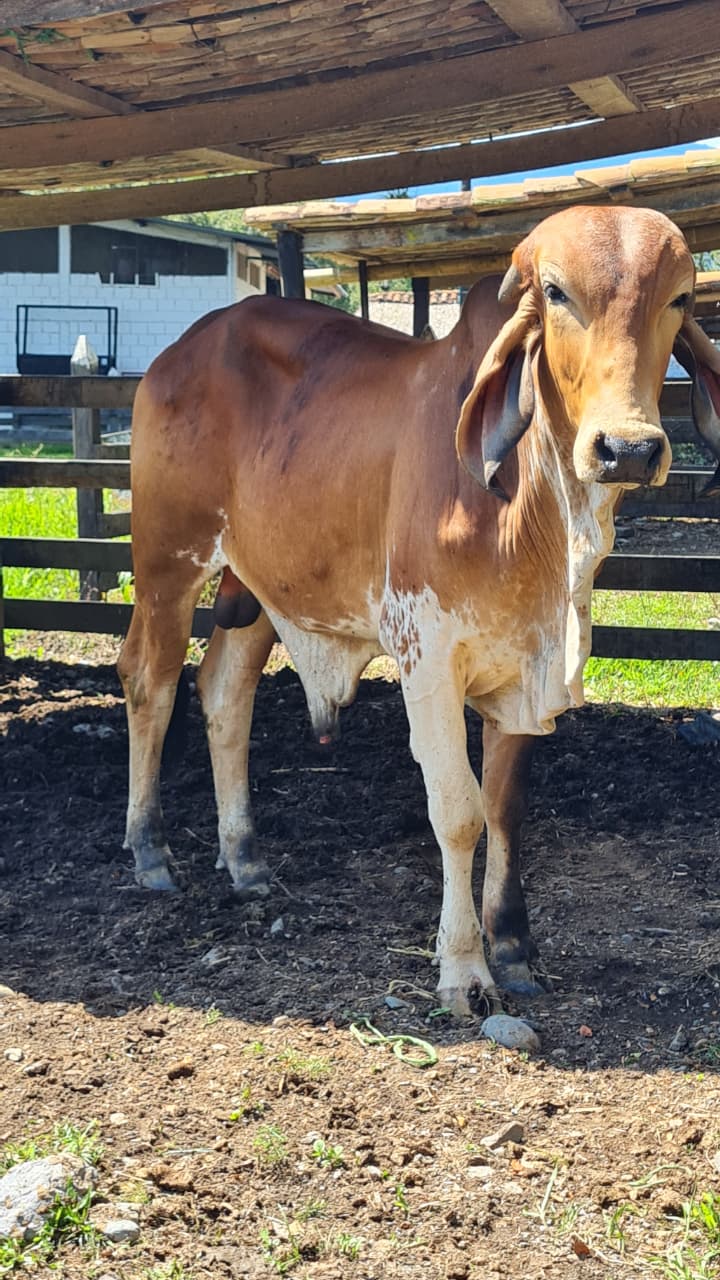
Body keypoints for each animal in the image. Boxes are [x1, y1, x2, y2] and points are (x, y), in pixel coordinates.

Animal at [118, 205, 720, 1015]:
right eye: (556, 293)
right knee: (149, 683)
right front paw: (464, 968)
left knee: (223, 694)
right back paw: (150, 849)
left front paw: (513, 947)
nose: (627, 448)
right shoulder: (426, 657)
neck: (532, 515)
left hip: (261, 591)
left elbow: (504, 809)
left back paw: (244, 859)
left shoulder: (521, 668)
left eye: (680, 298)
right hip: (167, 563)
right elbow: (458, 811)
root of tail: (177, 353)